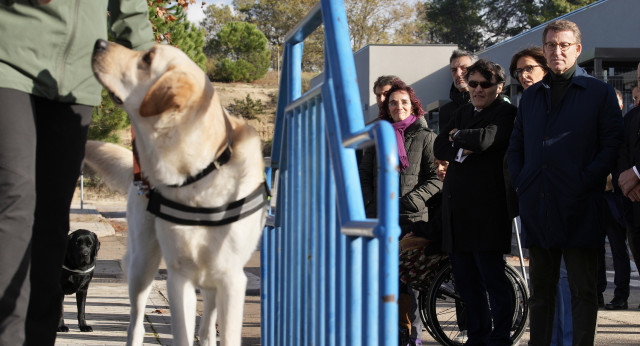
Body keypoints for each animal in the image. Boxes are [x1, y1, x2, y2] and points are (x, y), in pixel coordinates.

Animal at [86, 39, 266, 344]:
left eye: (148, 58)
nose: (99, 43)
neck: (198, 176)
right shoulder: (179, 277)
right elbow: (182, 334)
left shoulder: (231, 279)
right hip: (143, 262)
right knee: (136, 322)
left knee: (207, 327)